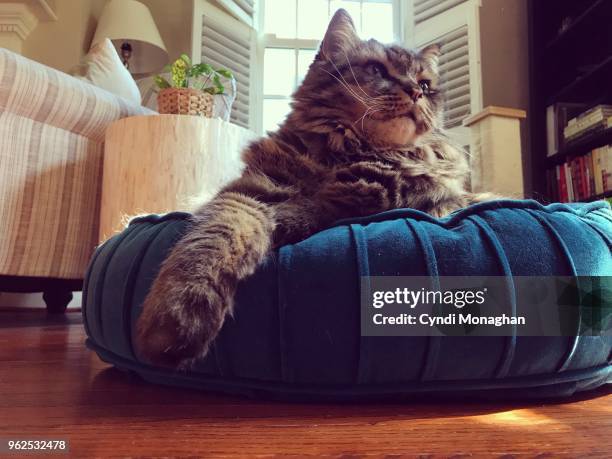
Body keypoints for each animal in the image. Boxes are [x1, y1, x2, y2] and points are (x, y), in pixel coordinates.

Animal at [134, 9, 492, 370]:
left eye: (424, 85)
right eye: (377, 70)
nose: (414, 92)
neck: (350, 152)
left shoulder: (366, 202)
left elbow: (293, 215)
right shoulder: (250, 192)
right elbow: (214, 237)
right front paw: (173, 320)